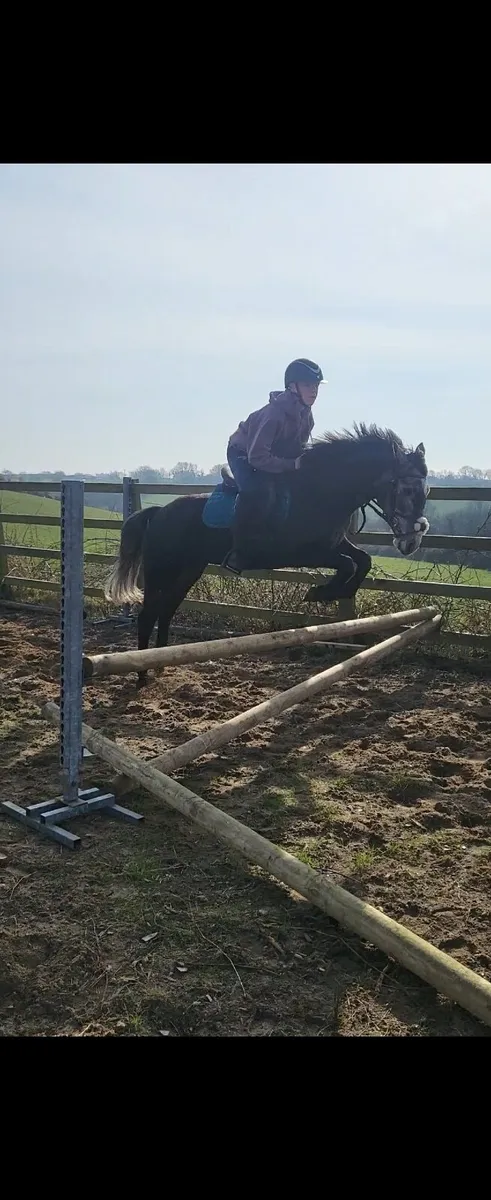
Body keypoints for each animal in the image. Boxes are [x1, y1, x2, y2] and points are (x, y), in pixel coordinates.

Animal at [105, 424, 430, 685]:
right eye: (408, 489)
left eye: (426, 490)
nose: (411, 541)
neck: (320, 491)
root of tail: (159, 513)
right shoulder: (304, 553)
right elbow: (348, 564)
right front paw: (320, 593)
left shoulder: (333, 544)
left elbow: (362, 560)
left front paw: (337, 592)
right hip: (161, 570)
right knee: (148, 615)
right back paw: (142, 675)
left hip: (188, 570)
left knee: (167, 611)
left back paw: (160, 664)